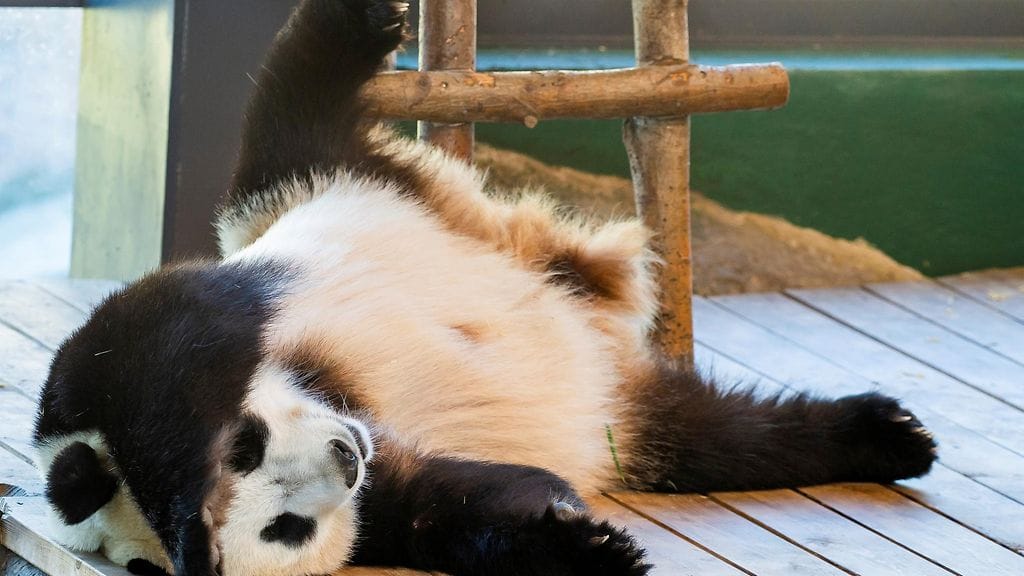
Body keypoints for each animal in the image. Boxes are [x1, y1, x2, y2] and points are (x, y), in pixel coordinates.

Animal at [33, 1, 938, 575]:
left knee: (294, 112)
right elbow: (444, 509)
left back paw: (362, 15)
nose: (342, 456)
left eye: (248, 446)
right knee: (722, 437)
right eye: (284, 527)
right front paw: (583, 541)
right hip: (625, 418)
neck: (335, 398)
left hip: (318, 191)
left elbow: (168, 345)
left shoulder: (137, 353)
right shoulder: (375, 507)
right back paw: (881, 436)